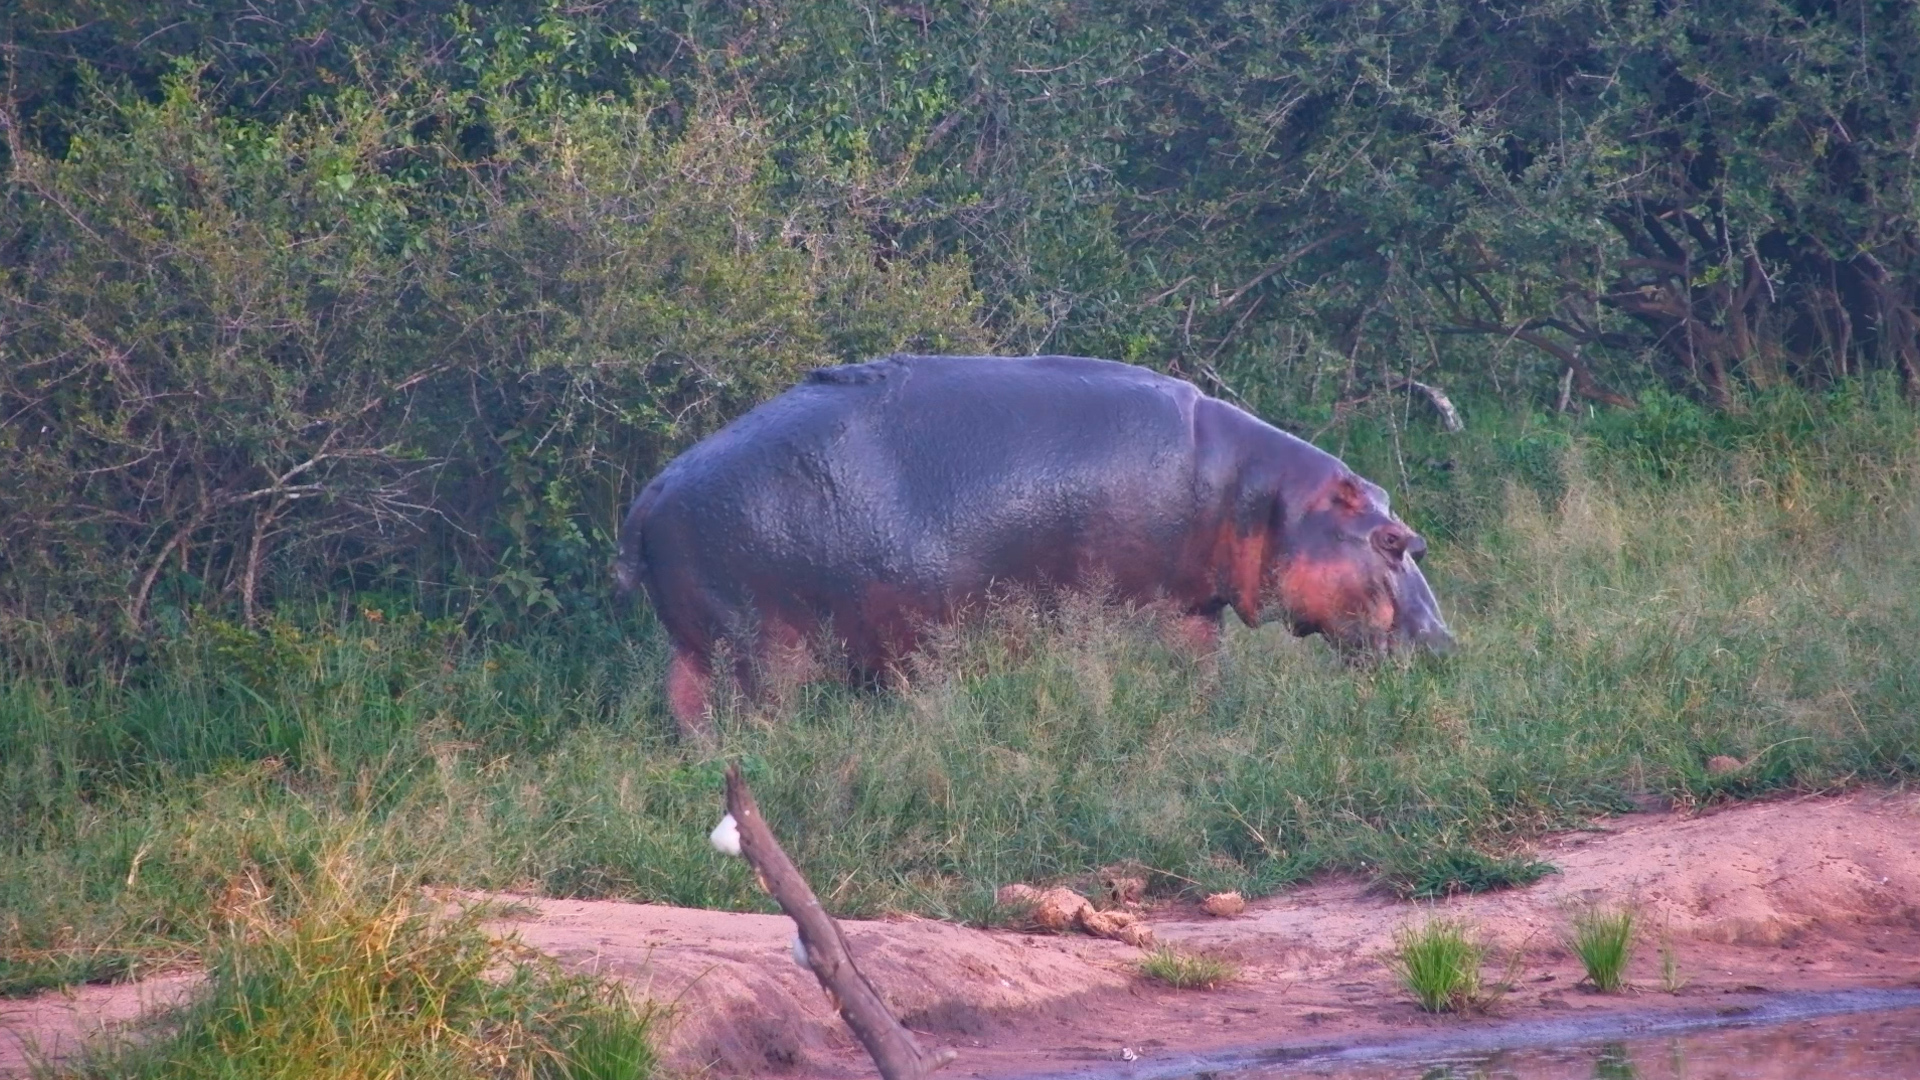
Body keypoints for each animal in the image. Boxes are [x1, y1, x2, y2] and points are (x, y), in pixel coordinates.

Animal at [616, 354, 1452, 734]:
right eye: (1393, 539)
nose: (1444, 642)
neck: (1260, 497)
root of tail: (649, 495)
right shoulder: (1144, 607)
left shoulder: (1188, 611)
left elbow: (1201, 677)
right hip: (762, 652)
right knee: (758, 715)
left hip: (694, 649)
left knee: (688, 715)